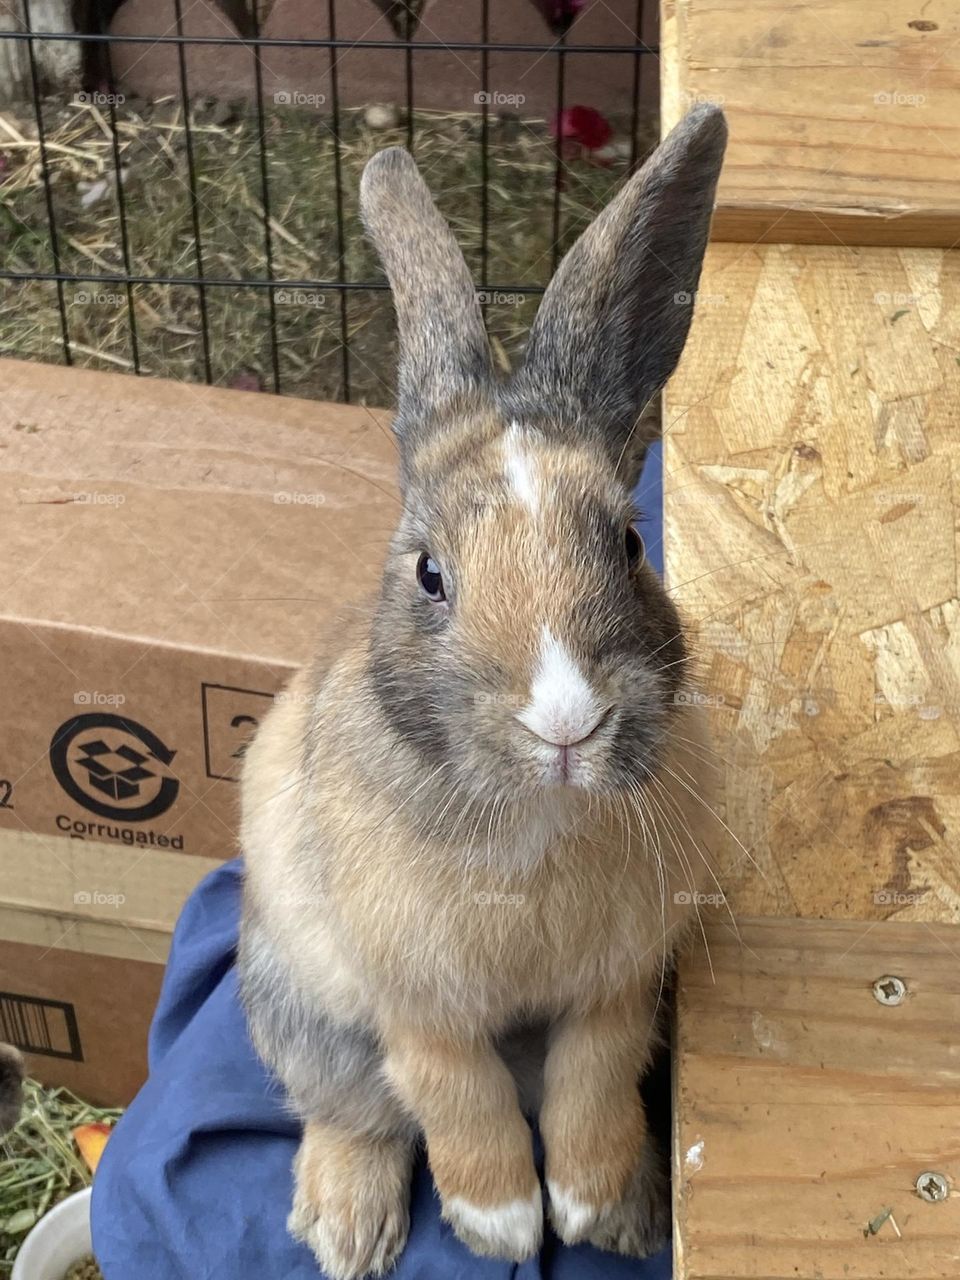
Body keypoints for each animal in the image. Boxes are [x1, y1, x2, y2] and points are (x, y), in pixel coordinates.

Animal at [239, 103, 728, 1280]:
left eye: (630, 543)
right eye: (429, 575)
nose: (566, 723)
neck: (536, 814)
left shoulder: (618, 986)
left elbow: (593, 1085)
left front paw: (590, 1203)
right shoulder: (417, 1001)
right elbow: (454, 1093)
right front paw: (499, 1216)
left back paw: (634, 1206)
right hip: (300, 1004)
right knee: (352, 1112)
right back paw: (349, 1229)